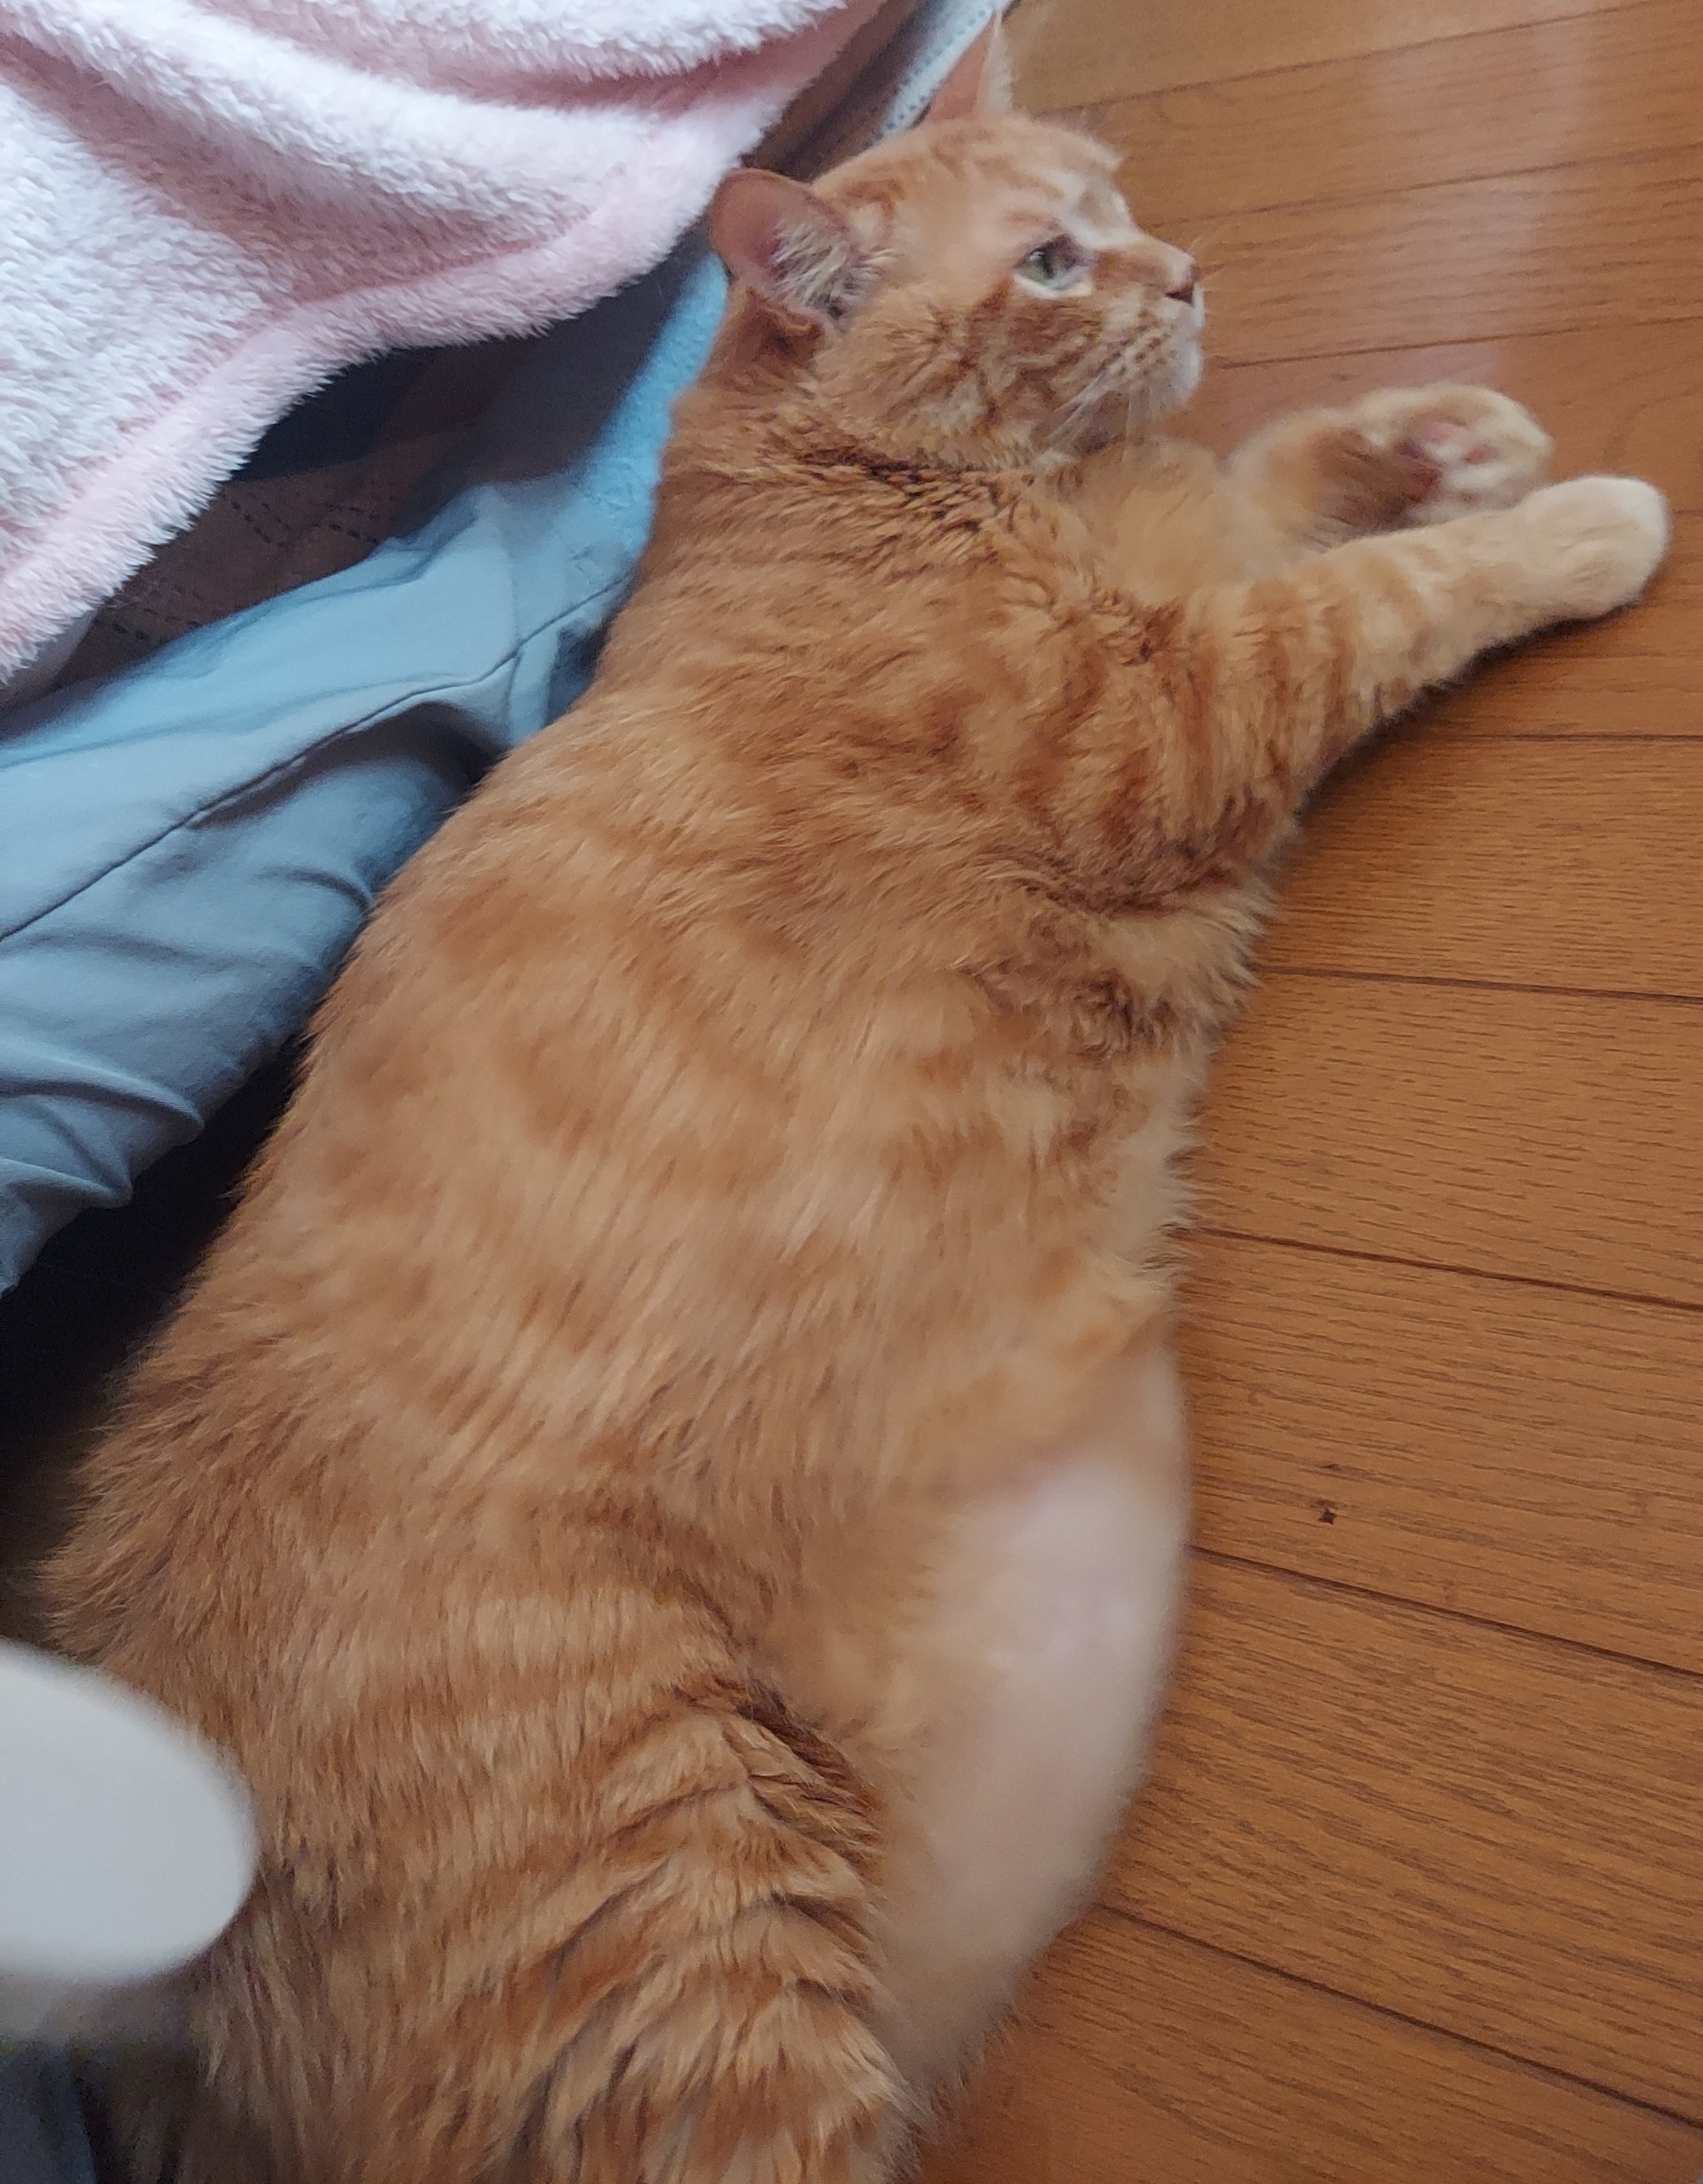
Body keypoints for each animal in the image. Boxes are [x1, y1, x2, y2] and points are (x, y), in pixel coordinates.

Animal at [43, 65, 1667, 2184]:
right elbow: (1366, 589)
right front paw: (1566, 521)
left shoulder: (1178, 584)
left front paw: (1446, 435)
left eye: (1116, 203)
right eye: (1052, 262)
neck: (882, 494)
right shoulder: (1159, 719)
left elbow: (1285, 467)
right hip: (687, 1945)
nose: (1188, 270)